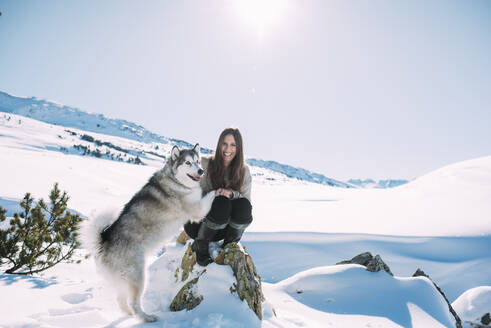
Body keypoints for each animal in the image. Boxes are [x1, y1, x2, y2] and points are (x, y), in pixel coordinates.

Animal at [82, 144, 215, 322]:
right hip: (138, 277)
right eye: (187, 162)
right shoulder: (197, 211)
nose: (201, 171)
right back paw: (146, 318)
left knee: (121, 300)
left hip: (123, 282)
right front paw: (224, 190)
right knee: (133, 303)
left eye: (197, 161)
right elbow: (212, 195)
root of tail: (104, 242)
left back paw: (129, 315)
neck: (176, 181)